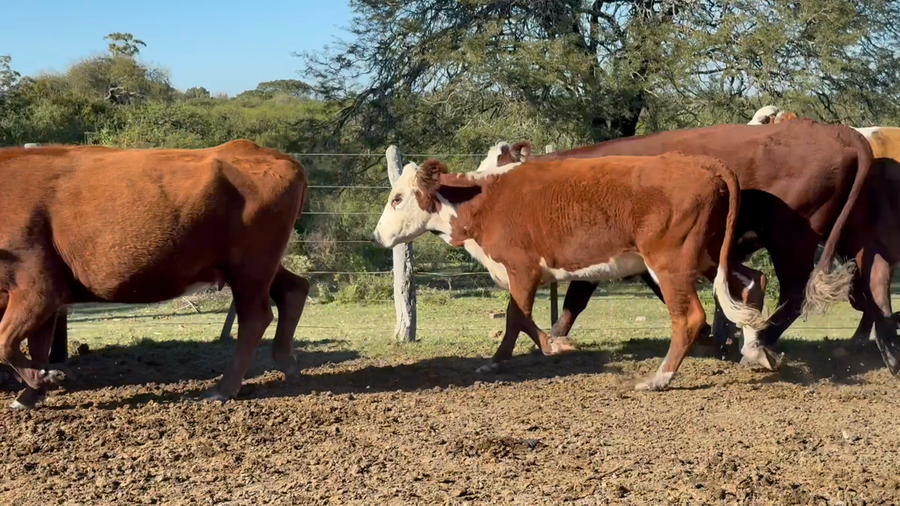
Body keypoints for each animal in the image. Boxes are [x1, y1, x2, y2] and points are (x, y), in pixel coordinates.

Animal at [0, 140, 311, 409]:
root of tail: (281, 159)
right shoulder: (45, 298)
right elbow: (36, 346)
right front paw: (32, 393)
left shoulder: (37, 290)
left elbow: (5, 342)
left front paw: (43, 379)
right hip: (257, 268)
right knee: (293, 290)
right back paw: (288, 365)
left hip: (250, 270)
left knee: (256, 318)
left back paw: (223, 390)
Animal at [372, 153, 771, 390]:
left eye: (397, 198)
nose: (377, 236)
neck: (486, 200)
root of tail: (703, 164)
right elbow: (518, 318)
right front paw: (537, 348)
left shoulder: (522, 270)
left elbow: (515, 316)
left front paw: (539, 349)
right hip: (709, 256)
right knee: (753, 281)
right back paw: (757, 352)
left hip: (671, 264)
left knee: (688, 317)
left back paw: (659, 378)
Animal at [485, 119, 880, 372]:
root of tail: (837, 131)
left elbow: (577, 300)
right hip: (848, 237)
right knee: (865, 284)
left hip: (791, 238)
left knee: (795, 294)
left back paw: (758, 344)